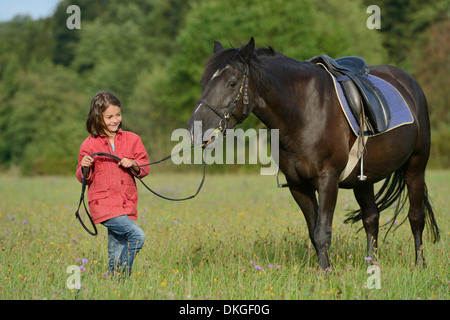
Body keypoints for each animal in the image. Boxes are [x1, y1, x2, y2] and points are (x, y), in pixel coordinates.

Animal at [187, 37, 440, 270]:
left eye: (231, 83)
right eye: (202, 82)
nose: (194, 130)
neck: (304, 111)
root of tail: (408, 83)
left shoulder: (327, 180)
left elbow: (322, 232)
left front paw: (325, 274)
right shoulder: (299, 185)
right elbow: (313, 231)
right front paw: (323, 270)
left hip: (415, 167)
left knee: (415, 217)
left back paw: (419, 265)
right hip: (363, 179)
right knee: (371, 218)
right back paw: (372, 265)